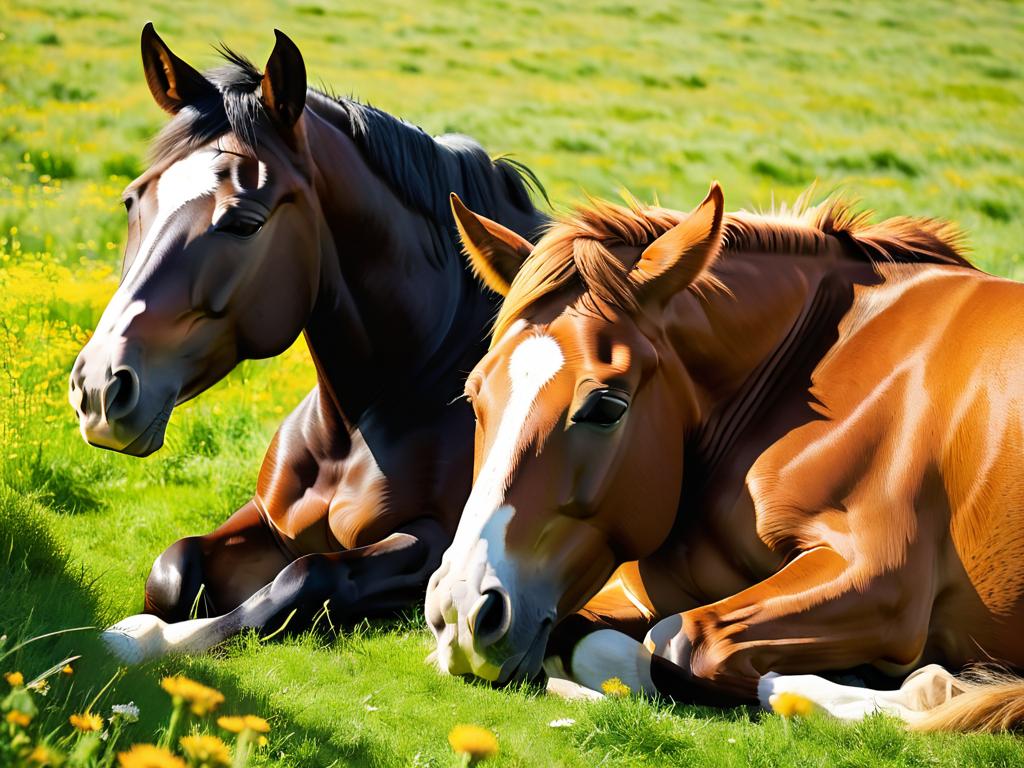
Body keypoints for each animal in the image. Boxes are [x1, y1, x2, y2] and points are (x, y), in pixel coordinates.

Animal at [68, 24, 548, 663]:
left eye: (244, 222)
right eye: (132, 201)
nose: (99, 387)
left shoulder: (437, 544)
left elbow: (305, 577)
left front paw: (152, 640)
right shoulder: (269, 520)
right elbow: (174, 567)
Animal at [428, 186, 1024, 733]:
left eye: (605, 406)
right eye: (474, 395)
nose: (460, 610)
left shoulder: (879, 583)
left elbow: (686, 643)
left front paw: (926, 692)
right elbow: (589, 639)